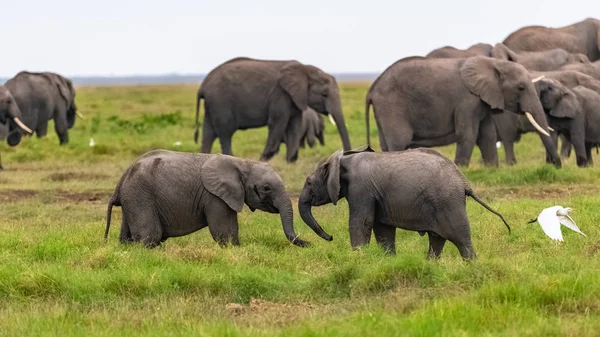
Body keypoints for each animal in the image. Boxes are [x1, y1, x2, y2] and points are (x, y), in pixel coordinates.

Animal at [105, 150, 310, 247]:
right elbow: (224, 233)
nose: (310, 243)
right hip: (140, 195)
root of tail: (122, 179)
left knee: (127, 236)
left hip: (132, 197)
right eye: (266, 188)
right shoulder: (214, 196)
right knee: (150, 236)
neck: (241, 163)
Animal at [192, 56, 352, 161]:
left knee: (209, 133)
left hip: (213, 105)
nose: (345, 155)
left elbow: (295, 125)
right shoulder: (280, 94)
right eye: (324, 94)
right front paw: (264, 158)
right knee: (225, 132)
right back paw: (229, 158)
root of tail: (202, 85)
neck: (305, 69)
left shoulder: (294, 98)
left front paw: (291, 161)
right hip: (220, 102)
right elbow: (278, 122)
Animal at [298, 146, 508, 258]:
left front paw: (359, 257)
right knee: (437, 239)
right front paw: (387, 260)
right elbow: (382, 229)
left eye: (308, 182)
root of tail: (464, 181)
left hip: (448, 203)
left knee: (461, 239)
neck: (345, 160)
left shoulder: (361, 189)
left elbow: (361, 222)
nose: (330, 237)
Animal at [366, 55, 564, 168]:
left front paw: (492, 169)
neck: (494, 64)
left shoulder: (483, 100)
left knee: (387, 145)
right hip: (391, 105)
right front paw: (462, 169)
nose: (556, 165)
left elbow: (487, 136)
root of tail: (373, 88)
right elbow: (468, 134)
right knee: (399, 141)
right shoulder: (467, 100)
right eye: (521, 88)